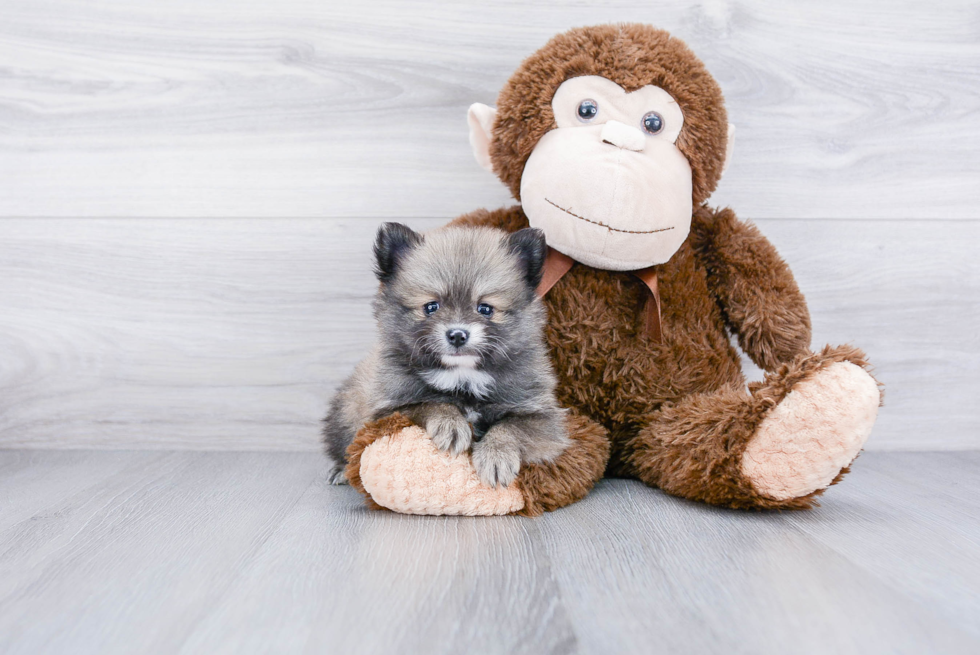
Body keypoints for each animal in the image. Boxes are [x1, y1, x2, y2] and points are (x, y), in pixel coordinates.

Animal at [324, 223, 568, 490]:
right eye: (431, 306)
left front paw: (496, 454)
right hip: (346, 411)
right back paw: (340, 469)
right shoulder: (386, 412)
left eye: (485, 308)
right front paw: (450, 423)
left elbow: (512, 427)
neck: (463, 374)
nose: (458, 335)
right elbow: (430, 403)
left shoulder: (543, 418)